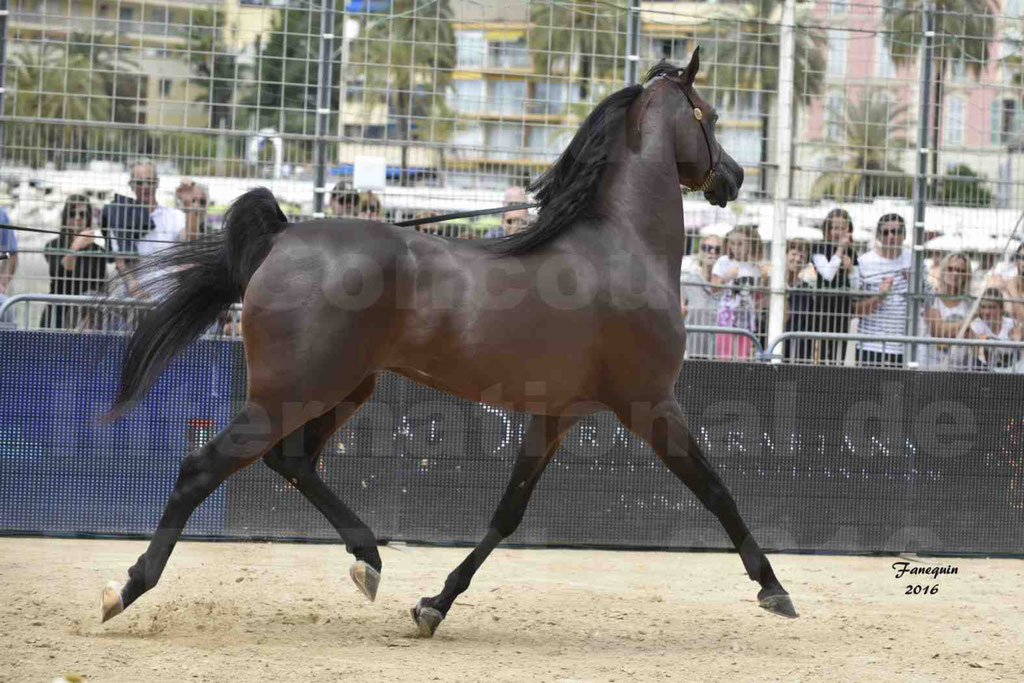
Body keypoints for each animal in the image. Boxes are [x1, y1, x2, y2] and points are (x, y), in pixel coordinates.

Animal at [99, 52, 794, 634]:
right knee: (204, 467)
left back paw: (369, 560)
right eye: (709, 116)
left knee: (292, 462)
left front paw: (433, 604)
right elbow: (717, 491)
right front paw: (774, 589)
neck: (622, 248)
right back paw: (126, 589)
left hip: (343, 387)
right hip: (291, 391)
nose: (733, 177)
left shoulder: (556, 415)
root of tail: (283, 237)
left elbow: (507, 515)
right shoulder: (649, 404)